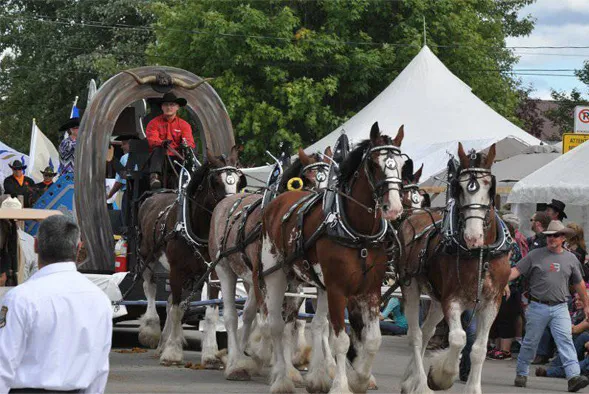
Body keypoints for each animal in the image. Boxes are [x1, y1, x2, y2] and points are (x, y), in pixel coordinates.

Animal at [137, 146, 242, 364]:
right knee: (150, 289)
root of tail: (153, 196)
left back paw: (162, 343)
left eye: (238, 179)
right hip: (147, 257)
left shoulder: (212, 273)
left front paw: (210, 354)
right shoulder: (176, 271)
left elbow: (209, 313)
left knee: (169, 301)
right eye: (216, 181)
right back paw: (151, 330)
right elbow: (177, 309)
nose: (231, 209)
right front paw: (172, 352)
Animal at [207, 146, 330, 380]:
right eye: (308, 181)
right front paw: (263, 356)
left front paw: (288, 369)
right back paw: (236, 362)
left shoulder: (295, 283)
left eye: (332, 178)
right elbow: (267, 322)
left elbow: (288, 324)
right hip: (225, 270)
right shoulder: (262, 277)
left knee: (247, 315)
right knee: (231, 316)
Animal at [258, 122, 404, 390]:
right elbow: (341, 340)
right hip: (275, 275)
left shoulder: (370, 289)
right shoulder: (338, 289)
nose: (395, 208)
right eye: (374, 164)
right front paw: (341, 385)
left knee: (311, 324)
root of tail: (276, 204)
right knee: (275, 324)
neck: (358, 233)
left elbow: (372, 339)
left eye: (401, 163)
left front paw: (361, 377)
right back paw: (282, 378)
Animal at [398, 142, 512, 394]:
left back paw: (409, 379)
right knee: (415, 335)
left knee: (427, 330)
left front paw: (473, 388)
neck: (481, 253)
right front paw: (441, 376)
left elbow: (479, 348)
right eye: (459, 188)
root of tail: (413, 216)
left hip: (436, 298)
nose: (473, 236)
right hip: (411, 287)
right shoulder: (452, 299)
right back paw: (420, 383)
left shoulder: (492, 302)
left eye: (489, 186)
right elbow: (458, 338)